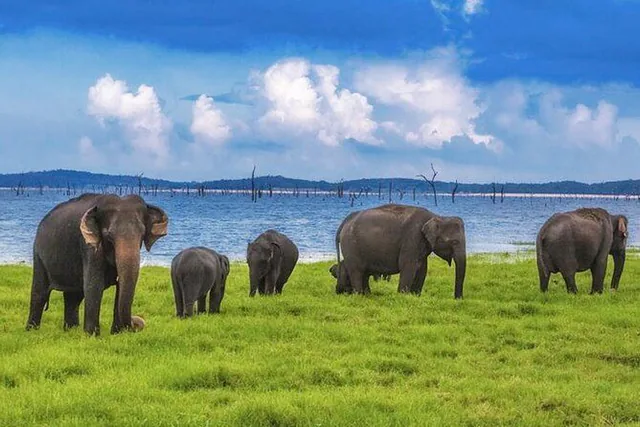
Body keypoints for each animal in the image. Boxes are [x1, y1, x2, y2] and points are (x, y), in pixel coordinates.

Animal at [26, 194, 168, 335]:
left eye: (142, 234)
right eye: (109, 236)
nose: (137, 322)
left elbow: (120, 287)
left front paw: (117, 334)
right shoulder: (88, 245)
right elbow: (94, 285)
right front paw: (92, 335)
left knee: (73, 296)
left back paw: (71, 330)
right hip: (38, 254)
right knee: (40, 293)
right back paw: (32, 331)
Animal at [337, 204, 466, 298]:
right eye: (455, 242)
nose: (457, 299)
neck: (437, 216)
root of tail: (346, 221)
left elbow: (422, 268)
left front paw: (416, 296)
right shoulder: (412, 238)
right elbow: (408, 266)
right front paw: (403, 296)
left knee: (364, 273)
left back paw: (368, 295)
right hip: (351, 246)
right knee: (357, 271)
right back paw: (359, 296)